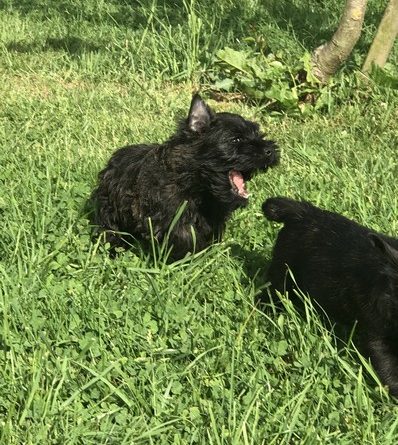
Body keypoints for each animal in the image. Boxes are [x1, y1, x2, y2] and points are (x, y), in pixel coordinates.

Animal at [90, 94, 278, 260]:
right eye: (236, 140)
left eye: (259, 134)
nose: (270, 150)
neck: (197, 185)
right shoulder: (168, 216)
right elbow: (184, 236)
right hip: (109, 211)